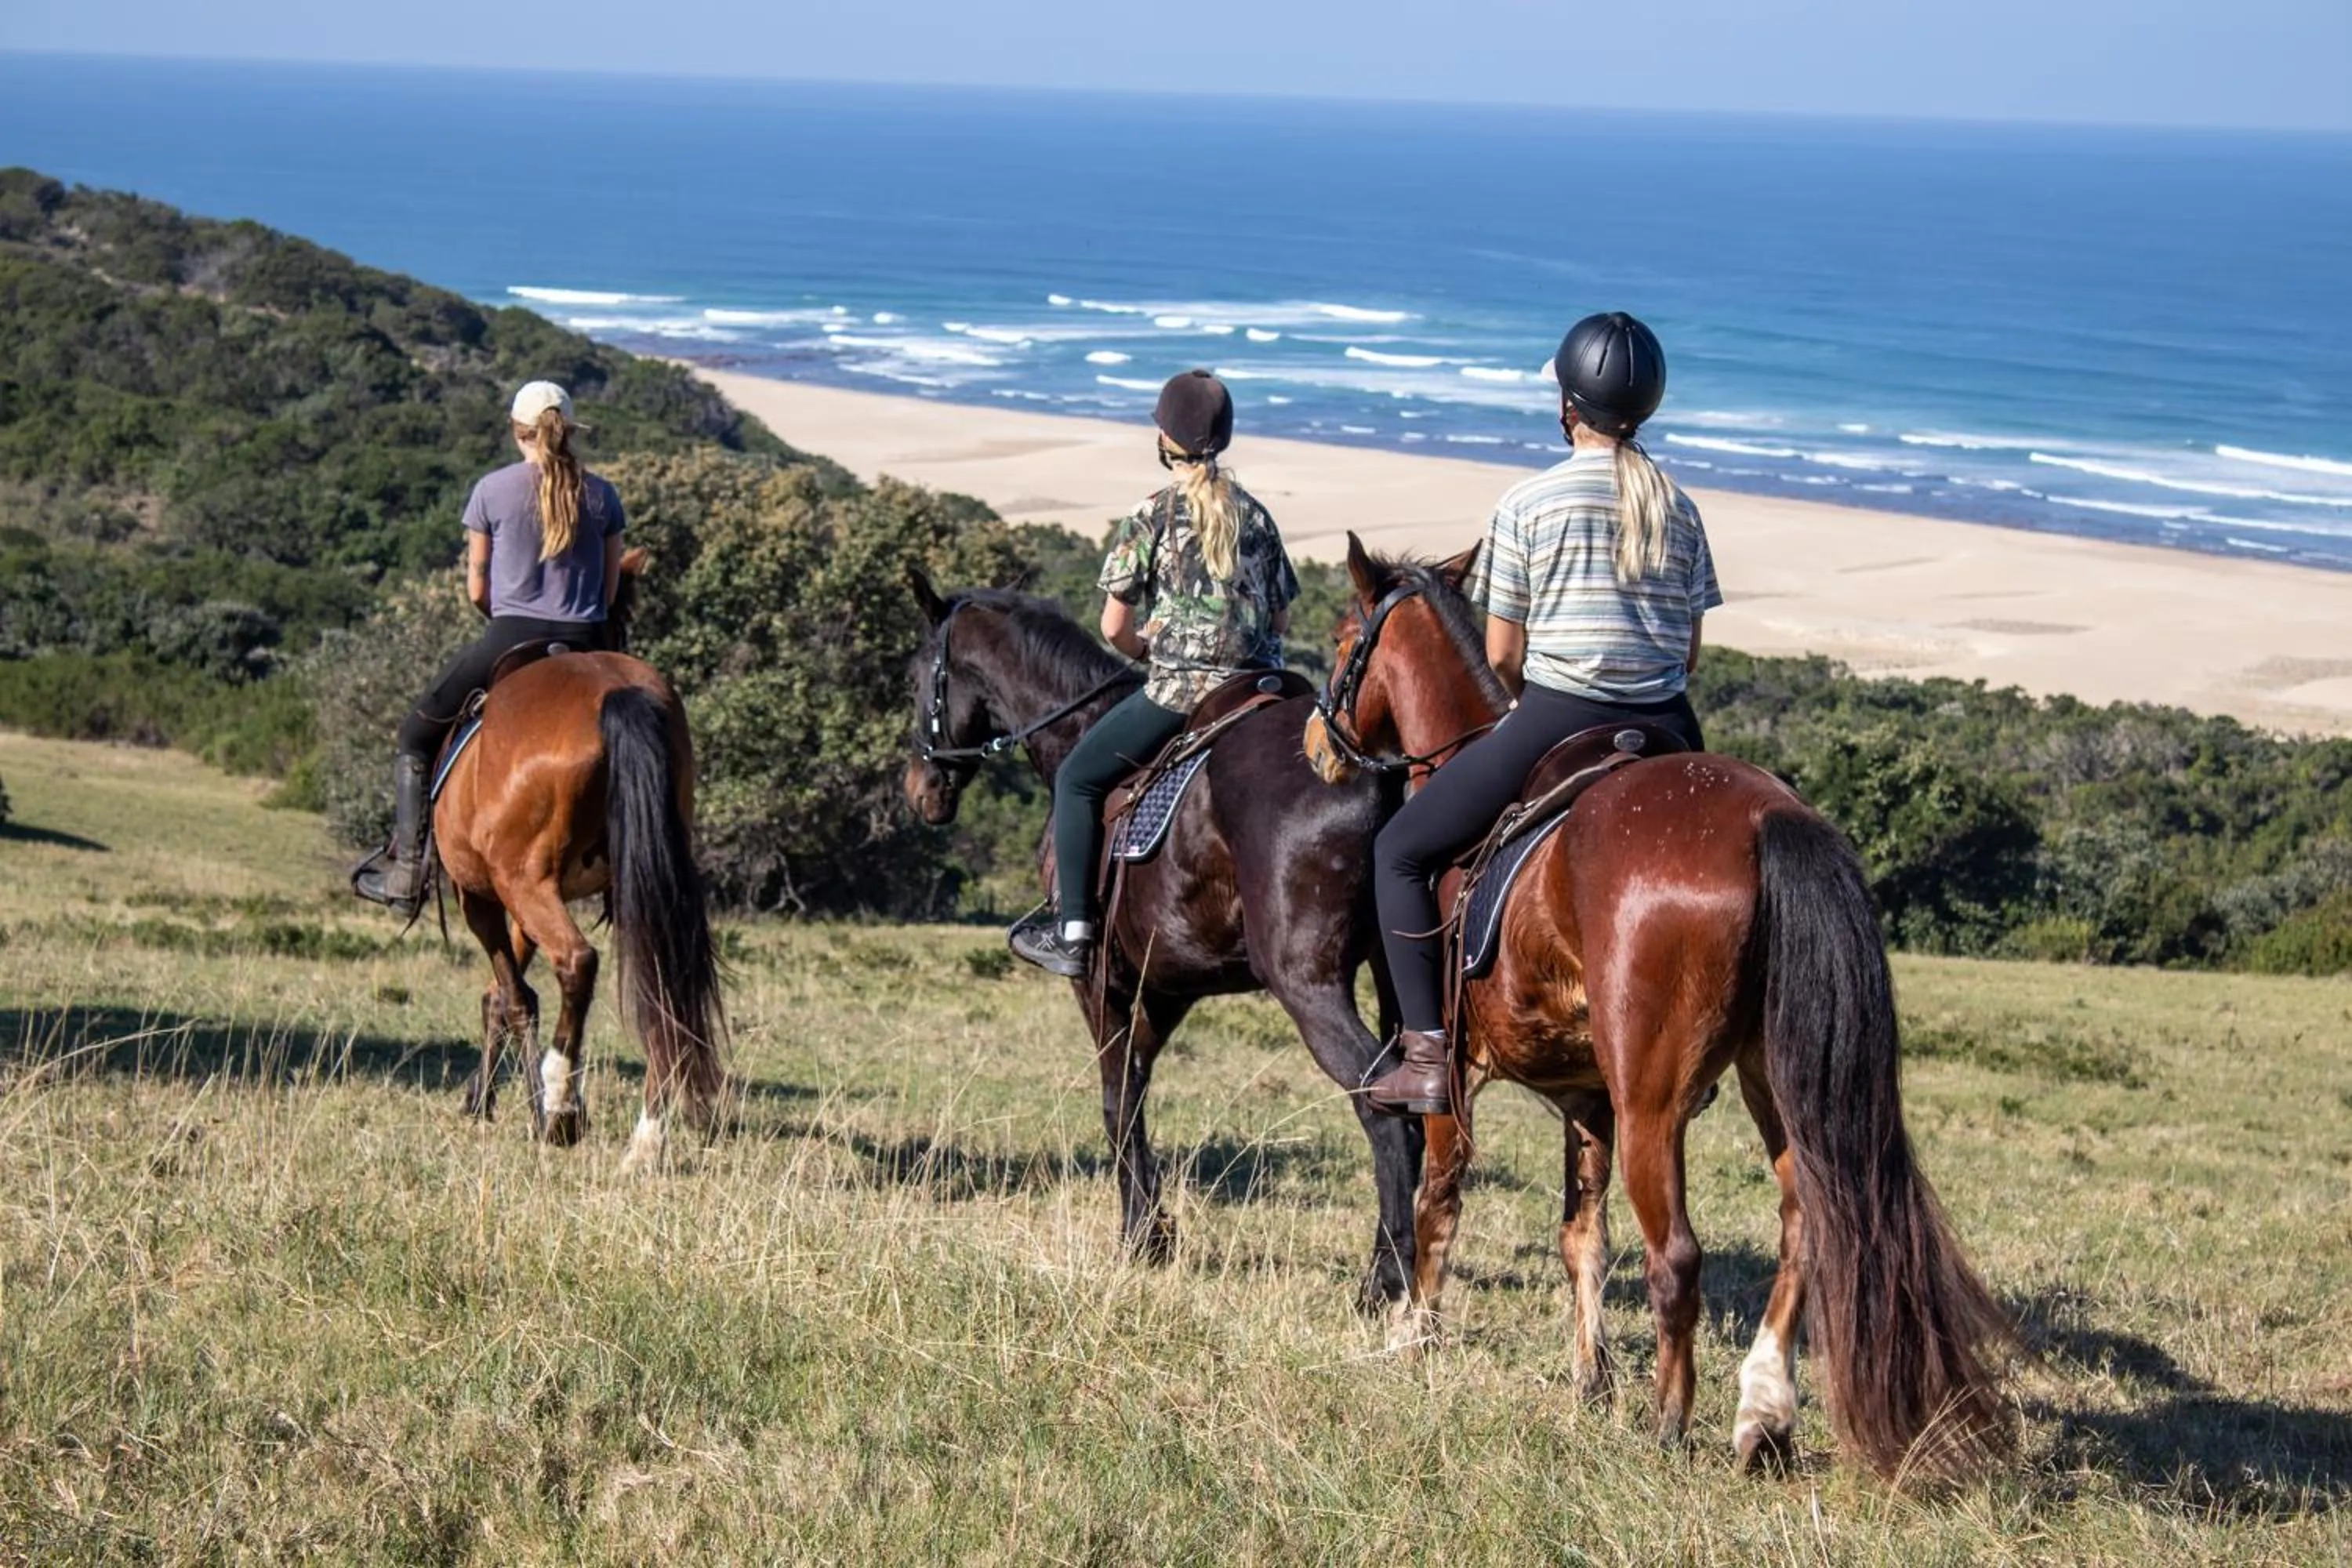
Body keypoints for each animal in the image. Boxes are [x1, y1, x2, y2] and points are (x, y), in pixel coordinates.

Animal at [437, 558, 725, 1173]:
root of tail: (615, 692)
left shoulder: (485, 895)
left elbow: (514, 996)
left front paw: (533, 1107)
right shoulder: (523, 901)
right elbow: (505, 992)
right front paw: (487, 1098)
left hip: (522, 886)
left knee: (576, 963)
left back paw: (562, 1104)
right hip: (642, 886)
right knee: (662, 986)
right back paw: (644, 1143)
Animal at [902, 570, 1424, 1312]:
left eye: (915, 676)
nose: (922, 791)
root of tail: (1375, 772)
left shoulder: (1101, 981)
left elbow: (1117, 1103)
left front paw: (1139, 1238)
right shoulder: (1167, 985)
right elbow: (1136, 1095)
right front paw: (1155, 1230)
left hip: (1308, 986)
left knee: (1385, 1109)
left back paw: (1386, 1282)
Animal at [1303, 536, 2011, 1485]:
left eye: (1346, 639)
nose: (1319, 743)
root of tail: (1765, 818)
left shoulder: (1456, 1069)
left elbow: (1437, 1201)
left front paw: (1413, 1332)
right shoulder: (1587, 1097)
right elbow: (1581, 1237)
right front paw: (1590, 1376)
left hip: (1655, 1100)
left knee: (1676, 1253)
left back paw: (1671, 1422)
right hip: (1770, 1080)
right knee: (1804, 1228)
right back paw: (1762, 1414)